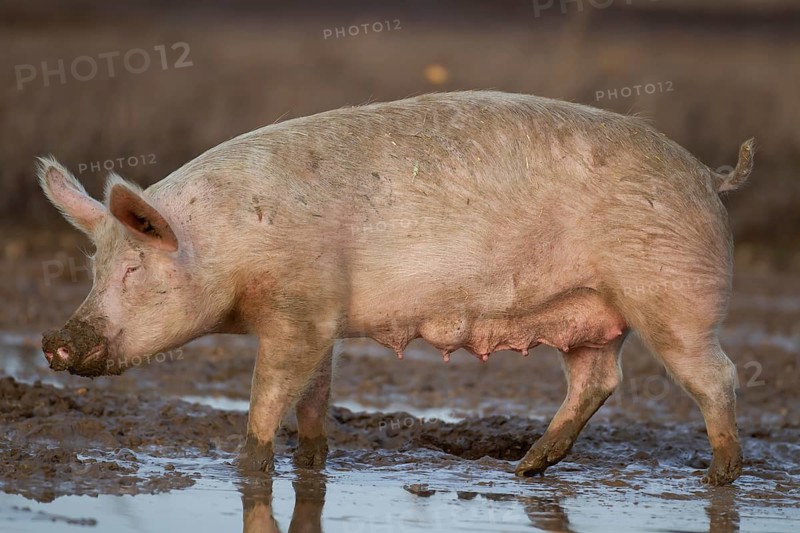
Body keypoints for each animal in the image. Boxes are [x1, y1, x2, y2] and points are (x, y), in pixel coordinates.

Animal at [38, 90, 754, 485]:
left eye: (133, 270)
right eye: (95, 268)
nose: (53, 343)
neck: (231, 244)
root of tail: (710, 177)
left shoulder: (300, 310)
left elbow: (269, 396)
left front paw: (244, 467)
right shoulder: (322, 315)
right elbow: (312, 398)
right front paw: (313, 462)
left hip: (673, 295)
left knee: (716, 375)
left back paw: (718, 476)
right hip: (590, 316)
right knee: (598, 379)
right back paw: (525, 468)